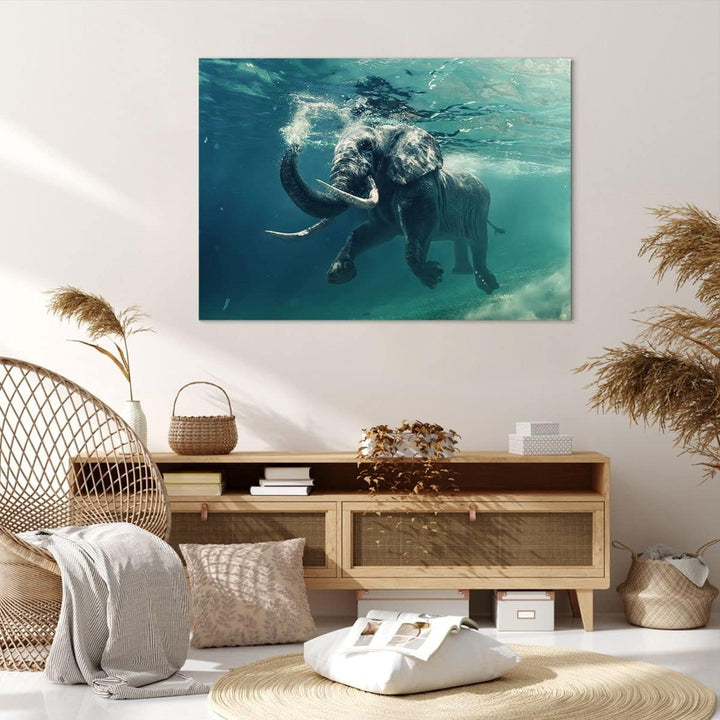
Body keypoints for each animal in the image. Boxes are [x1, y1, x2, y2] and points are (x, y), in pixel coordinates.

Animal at [266, 123, 504, 293]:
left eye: (366, 146)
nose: (295, 142)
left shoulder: (421, 186)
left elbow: (419, 225)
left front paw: (433, 276)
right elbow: (371, 231)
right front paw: (339, 273)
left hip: (481, 206)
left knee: (479, 242)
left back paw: (488, 285)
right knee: (462, 240)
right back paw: (462, 274)